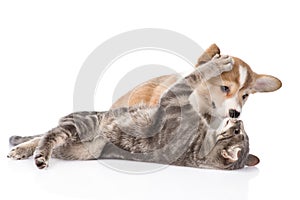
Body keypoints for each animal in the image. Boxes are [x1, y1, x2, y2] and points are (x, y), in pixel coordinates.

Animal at [7, 55, 260, 170]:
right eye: (242, 132)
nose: (239, 120)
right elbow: (198, 73)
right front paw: (218, 64)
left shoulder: (174, 98)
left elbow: (196, 74)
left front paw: (216, 64)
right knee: (43, 134)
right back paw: (21, 149)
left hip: (82, 125)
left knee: (50, 135)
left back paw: (39, 156)